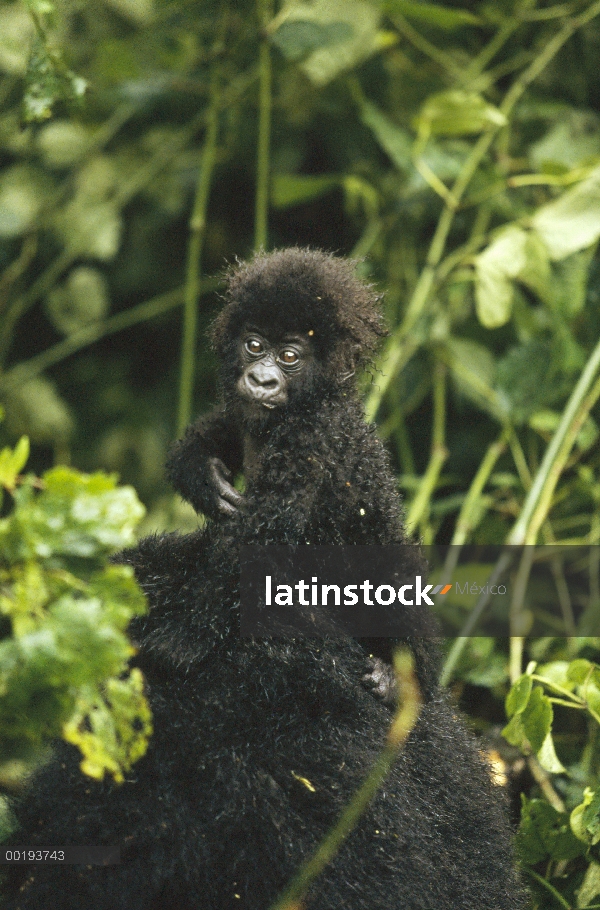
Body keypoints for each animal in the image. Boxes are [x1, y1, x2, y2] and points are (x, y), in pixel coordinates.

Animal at [2, 249, 524, 910]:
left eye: (291, 356)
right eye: (254, 345)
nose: (264, 378)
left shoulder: (309, 440)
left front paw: (175, 637)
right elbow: (224, 440)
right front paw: (201, 468)